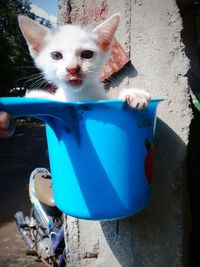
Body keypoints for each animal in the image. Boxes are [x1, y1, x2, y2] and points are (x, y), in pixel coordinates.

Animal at [18, 14, 150, 109]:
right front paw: (35, 95)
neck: (78, 96)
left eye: (87, 54)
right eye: (56, 55)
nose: (72, 69)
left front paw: (135, 94)